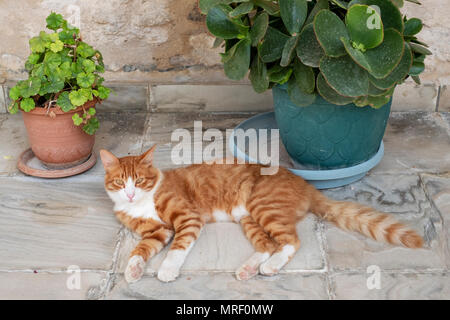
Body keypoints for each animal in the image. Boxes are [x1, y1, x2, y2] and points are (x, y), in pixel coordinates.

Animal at [100, 145, 424, 282]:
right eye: (120, 182)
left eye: (140, 181)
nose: (130, 193)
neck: (140, 203)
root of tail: (306, 184)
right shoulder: (157, 231)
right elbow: (141, 249)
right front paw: (133, 269)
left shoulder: (186, 219)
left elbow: (177, 248)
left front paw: (167, 270)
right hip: (249, 217)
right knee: (268, 244)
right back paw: (249, 267)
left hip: (263, 206)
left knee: (291, 242)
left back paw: (269, 267)